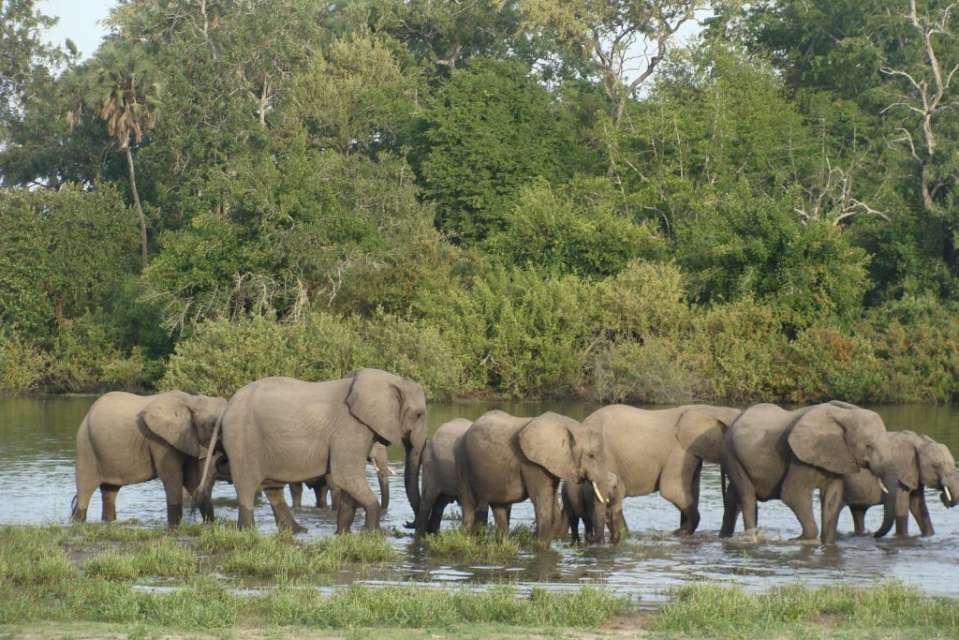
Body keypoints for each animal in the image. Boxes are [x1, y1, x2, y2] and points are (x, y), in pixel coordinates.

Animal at [74, 388, 228, 528]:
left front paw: (210, 525)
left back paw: (109, 522)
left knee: (110, 491)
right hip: (85, 446)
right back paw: (77, 523)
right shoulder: (160, 441)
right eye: (213, 424)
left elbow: (192, 480)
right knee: (84, 491)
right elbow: (172, 478)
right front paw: (174, 528)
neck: (192, 400)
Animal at [210, 368, 428, 532]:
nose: (407, 523)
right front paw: (372, 534)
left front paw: (343, 534)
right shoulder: (350, 428)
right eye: (418, 415)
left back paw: (298, 531)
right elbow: (346, 476)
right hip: (242, 439)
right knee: (247, 487)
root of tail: (227, 407)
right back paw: (248, 531)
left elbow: (348, 482)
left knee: (273, 489)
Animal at [458, 410, 608, 540]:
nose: (590, 537)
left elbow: (552, 500)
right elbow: (541, 501)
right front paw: (540, 546)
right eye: (591, 456)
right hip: (464, 462)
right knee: (469, 504)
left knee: (498, 507)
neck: (569, 426)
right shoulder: (531, 464)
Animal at [568, 402, 748, 536]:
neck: (709, 409)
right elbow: (672, 490)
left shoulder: (693, 452)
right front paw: (680, 532)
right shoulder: (680, 450)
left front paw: (682, 530)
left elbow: (692, 490)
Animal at [720, 400, 900, 544]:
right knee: (747, 497)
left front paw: (827, 543)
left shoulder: (836, 457)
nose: (874, 534)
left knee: (732, 498)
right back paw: (751, 538)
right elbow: (793, 494)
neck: (844, 415)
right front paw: (799, 540)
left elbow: (832, 498)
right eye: (869, 446)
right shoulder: (799, 457)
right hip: (732, 456)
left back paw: (725, 537)